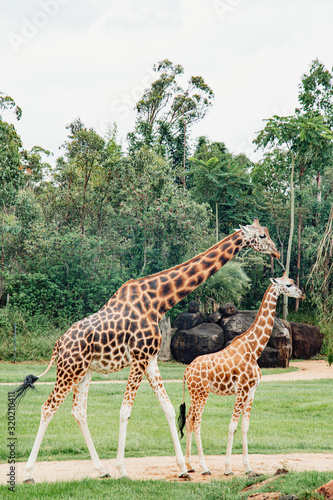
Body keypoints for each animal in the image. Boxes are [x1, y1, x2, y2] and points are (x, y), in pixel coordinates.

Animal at [14, 217, 278, 482]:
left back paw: (101, 470)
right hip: (69, 369)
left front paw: (183, 469)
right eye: (262, 236)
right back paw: (28, 473)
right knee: (48, 407)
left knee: (78, 411)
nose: (276, 252)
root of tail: (58, 344)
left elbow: (169, 409)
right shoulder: (139, 358)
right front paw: (123, 469)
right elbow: (125, 411)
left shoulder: (150, 359)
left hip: (83, 371)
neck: (158, 302)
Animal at [179, 274, 304, 476]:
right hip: (202, 393)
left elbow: (245, 427)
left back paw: (190, 466)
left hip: (194, 394)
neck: (254, 349)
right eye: (288, 284)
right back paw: (204, 467)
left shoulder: (252, 391)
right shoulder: (242, 389)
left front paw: (248, 468)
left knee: (189, 420)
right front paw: (228, 468)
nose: (301, 294)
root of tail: (186, 371)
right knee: (197, 423)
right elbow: (232, 427)